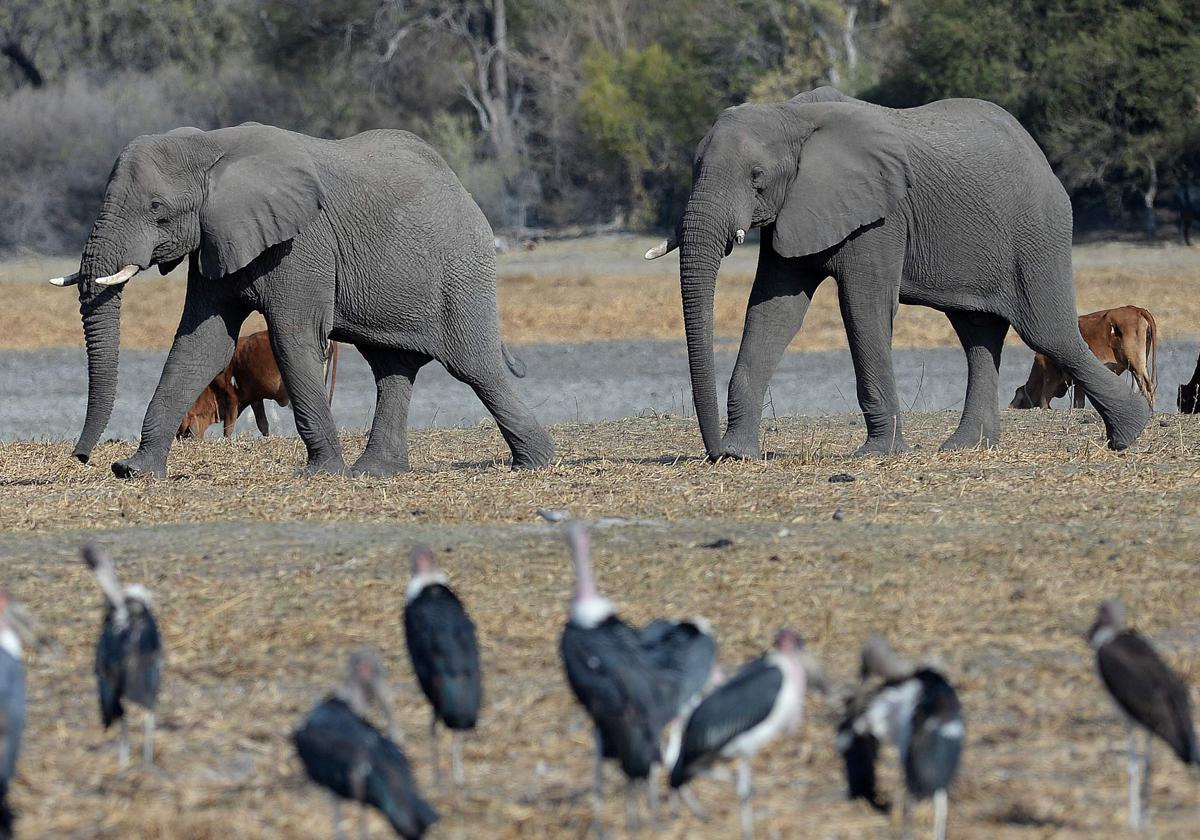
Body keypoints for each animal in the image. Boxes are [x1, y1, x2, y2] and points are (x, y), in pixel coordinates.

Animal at [1008, 309, 1156, 412]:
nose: (1010, 407)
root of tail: (1136, 309)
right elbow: (1078, 403)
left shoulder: (1051, 375)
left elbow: (1044, 400)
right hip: (1137, 364)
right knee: (1141, 386)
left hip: (1135, 361)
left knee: (1147, 385)